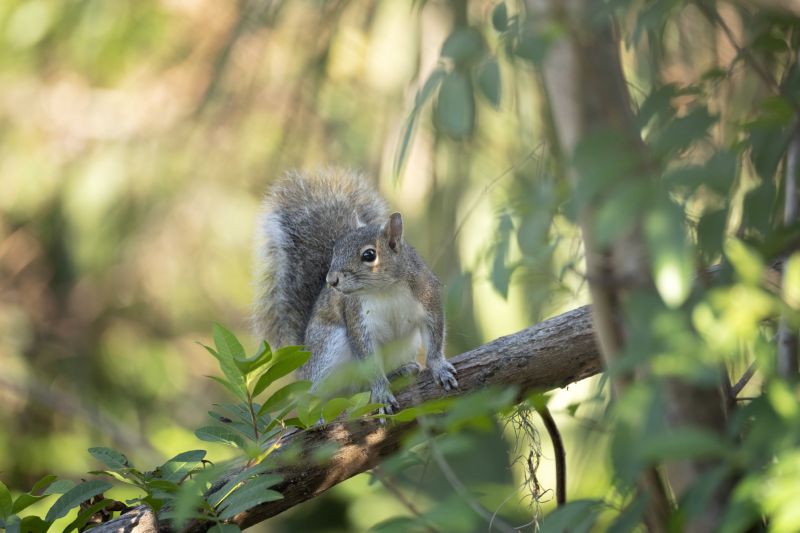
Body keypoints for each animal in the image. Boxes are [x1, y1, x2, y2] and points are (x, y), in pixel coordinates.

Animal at [253, 168, 458, 415]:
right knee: (331, 391)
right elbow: (367, 357)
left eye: (369, 255)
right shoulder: (358, 318)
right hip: (328, 349)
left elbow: (435, 337)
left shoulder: (428, 296)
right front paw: (381, 393)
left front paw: (439, 368)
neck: (385, 289)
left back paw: (400, 371)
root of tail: (303, 368)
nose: (331, 280)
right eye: (335, 251)